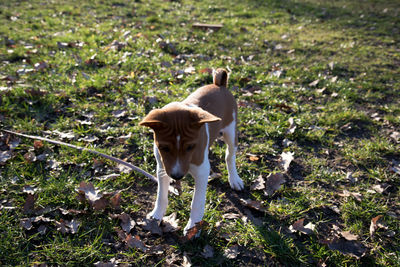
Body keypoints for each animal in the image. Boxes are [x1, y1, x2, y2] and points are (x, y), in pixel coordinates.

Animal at [139, 68, 244, 234]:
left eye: (190, 147)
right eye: (164, 148)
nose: (177, 176)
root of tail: (219, 85)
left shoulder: (201, 172)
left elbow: (197, 202)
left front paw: (193, 227)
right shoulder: (162, 168)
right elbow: (161, 196)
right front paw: (156, 216)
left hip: (231, 132)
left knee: (230, 156)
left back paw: (234, 179)